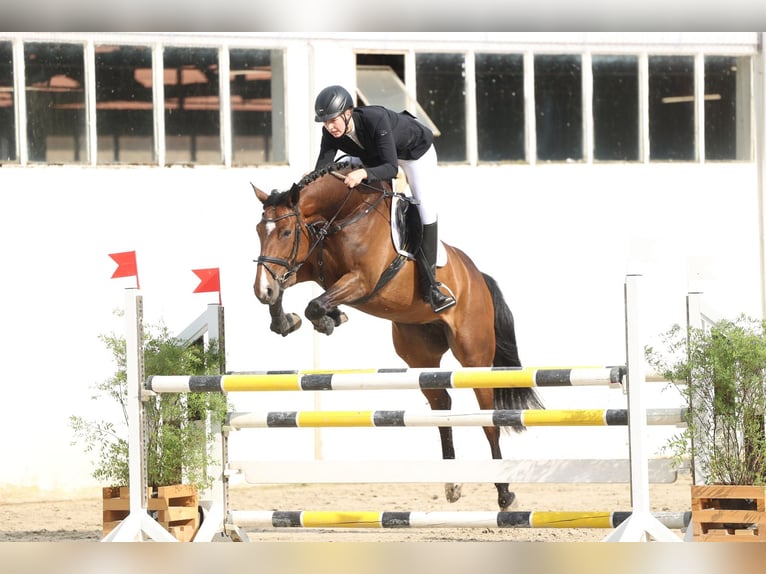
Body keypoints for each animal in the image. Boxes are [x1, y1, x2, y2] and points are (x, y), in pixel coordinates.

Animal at [254, 160, 544, 510]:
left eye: (285, 232)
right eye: (258, 231)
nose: (260, 291)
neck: (344, 213)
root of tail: (477, 277)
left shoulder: (362, 280)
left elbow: (315, 302)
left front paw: (325, 319)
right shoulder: (309, 266)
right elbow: (290, 285)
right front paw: (289, 318)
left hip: (474, 355)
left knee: (488, 420)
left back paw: (505, 495)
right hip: (420, 352)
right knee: (442, 404)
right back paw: (452, 483)